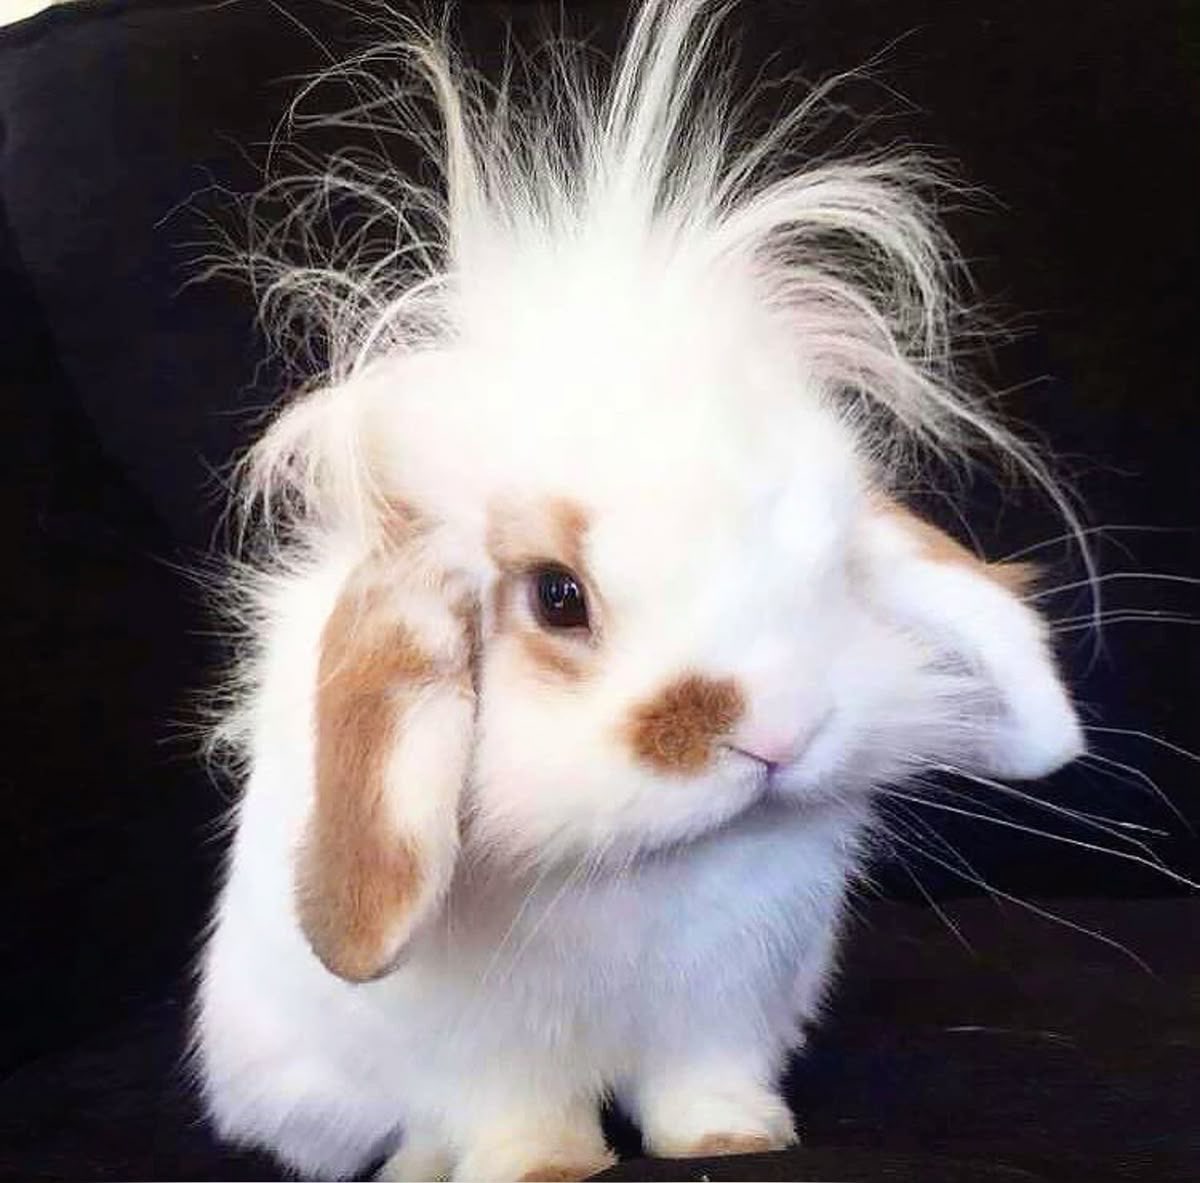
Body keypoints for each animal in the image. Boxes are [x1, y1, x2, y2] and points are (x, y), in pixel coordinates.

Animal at [192, 1, 1086, 1179]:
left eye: (833, 564)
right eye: (557, 596)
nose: (776, 733)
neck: (651, 868)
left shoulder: (724, 1007)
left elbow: (701, 1081)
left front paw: (738, 1137)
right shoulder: (489, 1052)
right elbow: (516, 1112)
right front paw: (549, 1166)